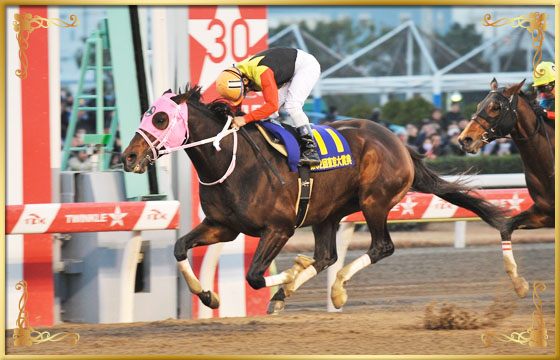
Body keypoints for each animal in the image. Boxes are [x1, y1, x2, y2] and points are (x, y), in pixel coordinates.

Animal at [122, 85, 508, 312]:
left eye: (160, 118)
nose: (128, 156)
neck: (232, 161)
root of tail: (398, 142)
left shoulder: (279, 228)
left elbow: (256, 276)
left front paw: (291, 272)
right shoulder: (222, 226)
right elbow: (179, 248)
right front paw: (208, 295)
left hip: (374, 202)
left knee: (380, 247)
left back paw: (335, 290)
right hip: (327, 213)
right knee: (327, 256)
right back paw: (302, 290)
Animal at [460, 79, 556, 298]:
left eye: (495, 107)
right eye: (478, 105)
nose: (464, 139)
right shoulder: (546, 212)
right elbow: (506, 227)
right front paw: (519, 285)